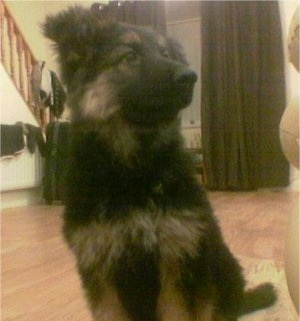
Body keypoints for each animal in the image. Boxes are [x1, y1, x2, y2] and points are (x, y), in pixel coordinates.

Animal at [42, 6, 276, 320]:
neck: (134, 168)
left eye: (165, 53)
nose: (190, 76)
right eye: (129, 56)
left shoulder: (178, 256)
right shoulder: (101, 266)